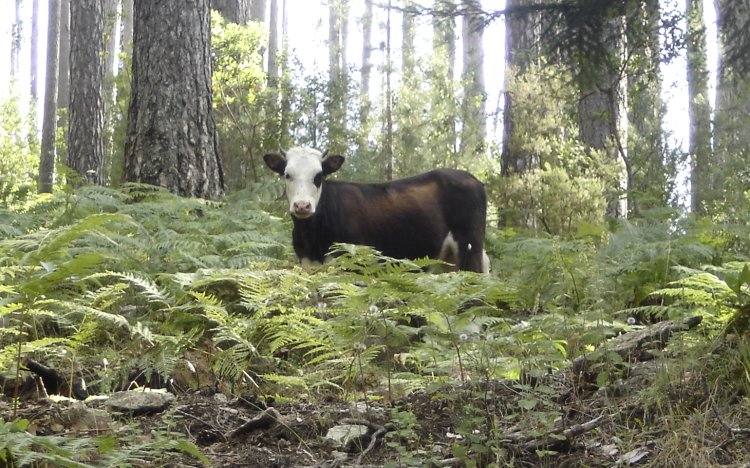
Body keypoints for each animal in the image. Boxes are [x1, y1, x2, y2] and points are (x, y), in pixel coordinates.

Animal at [264, 147, 489, 273]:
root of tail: (472, 178)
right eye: (287, 174)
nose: (302, 205)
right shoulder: (308, 262)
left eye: (319, 176)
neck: (312, 236)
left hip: (470, 248)